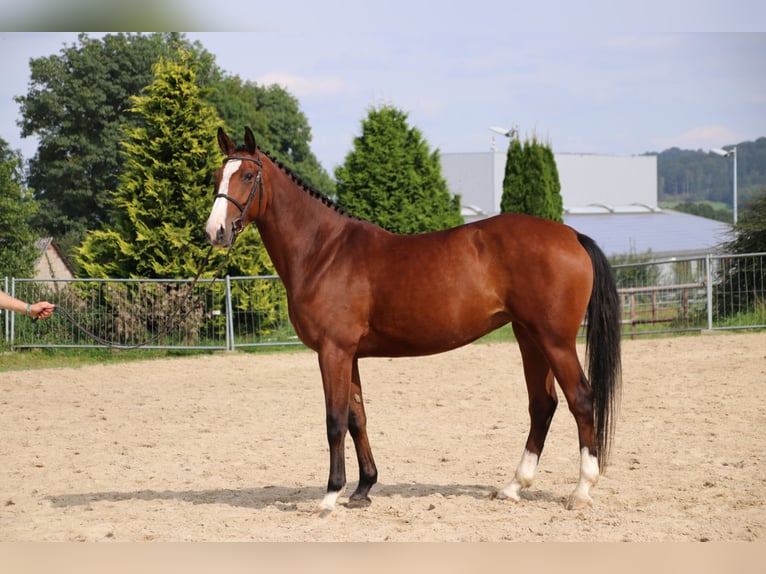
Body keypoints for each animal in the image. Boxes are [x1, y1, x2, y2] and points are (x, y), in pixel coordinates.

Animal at [206, 128, 624, 516]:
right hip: (529, 337)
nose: (215, 232)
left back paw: (581, 490)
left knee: (580, 400)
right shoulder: (349, 355)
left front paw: (330, 495)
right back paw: (513, 487)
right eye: (217, 175)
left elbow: (335, 420)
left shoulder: (332, 351)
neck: (324, 251)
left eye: (247, 175)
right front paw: (363, 488)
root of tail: (572, 234)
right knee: (542, 404)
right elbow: (358, 417)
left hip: (554, 340)